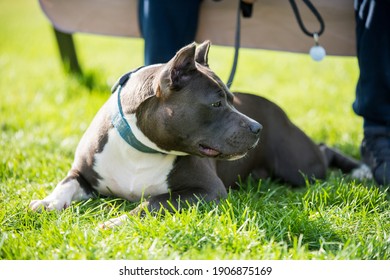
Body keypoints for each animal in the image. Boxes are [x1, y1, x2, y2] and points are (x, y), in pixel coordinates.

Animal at [29, 40, 370, 228]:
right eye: (217, 103)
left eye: (232, 99)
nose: (257, 128)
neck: (142, 150)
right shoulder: (83, 173)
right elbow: (65, 185)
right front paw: (46, 202)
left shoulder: (206, 191)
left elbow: (153, 202)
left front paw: (115, 221)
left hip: (300, 168)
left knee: (323, 150)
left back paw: (362, 170)